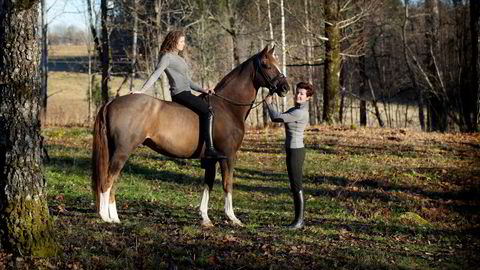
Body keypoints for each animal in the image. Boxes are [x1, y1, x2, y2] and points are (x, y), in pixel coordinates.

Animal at [93, 46, 288, 226]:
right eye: (267, 65)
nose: (285, 88)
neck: (227, 107)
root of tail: (111, 102)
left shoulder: (210, 160)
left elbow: (208, 184)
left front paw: (205, 218)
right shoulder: (228, 156)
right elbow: (227, 184)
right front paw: (232, 217)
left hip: (117, 152)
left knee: (113, 181)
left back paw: (114, 217)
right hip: (122, 151)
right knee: (108, 180)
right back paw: (105, 216)